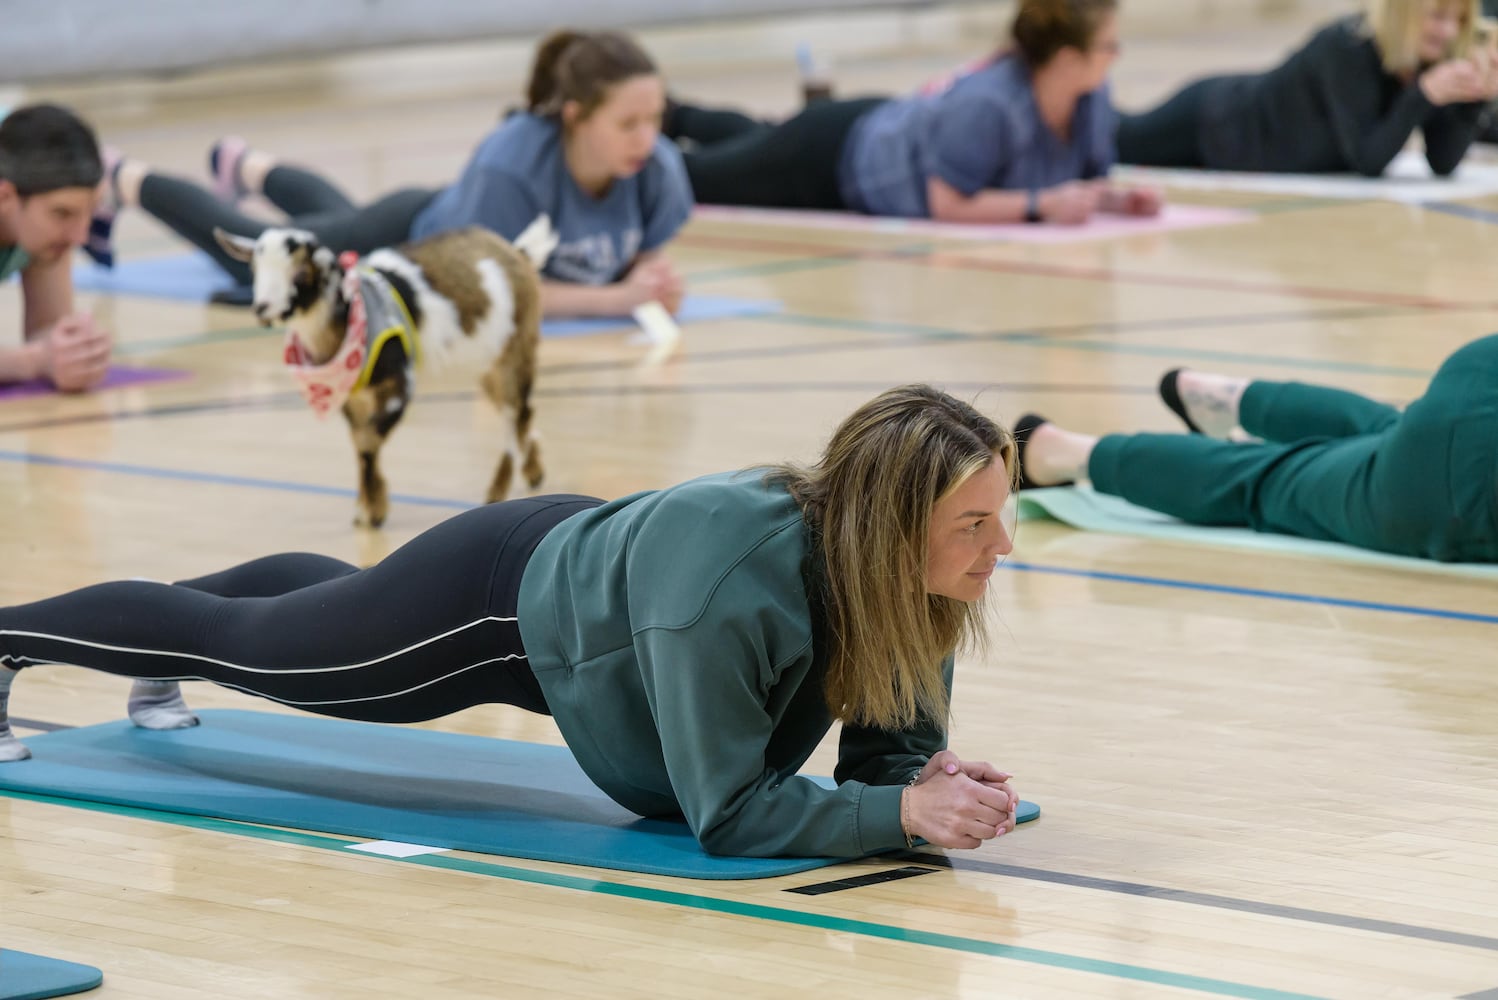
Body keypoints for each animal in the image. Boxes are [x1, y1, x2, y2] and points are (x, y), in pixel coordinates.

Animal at [215, 220, 557, 529]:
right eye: (254, 269)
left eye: (300, 273)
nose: (262, 308)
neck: (349, 313)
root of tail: (516, 252)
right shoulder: (352, 396)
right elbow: (359, 442)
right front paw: (368, 505)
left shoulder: (397, 385)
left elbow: (367, 442)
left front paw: (373, 513)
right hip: (487, 363)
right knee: (520, 413)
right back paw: (533, 470)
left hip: (516, 346)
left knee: (516, 413)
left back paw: (498, 490)